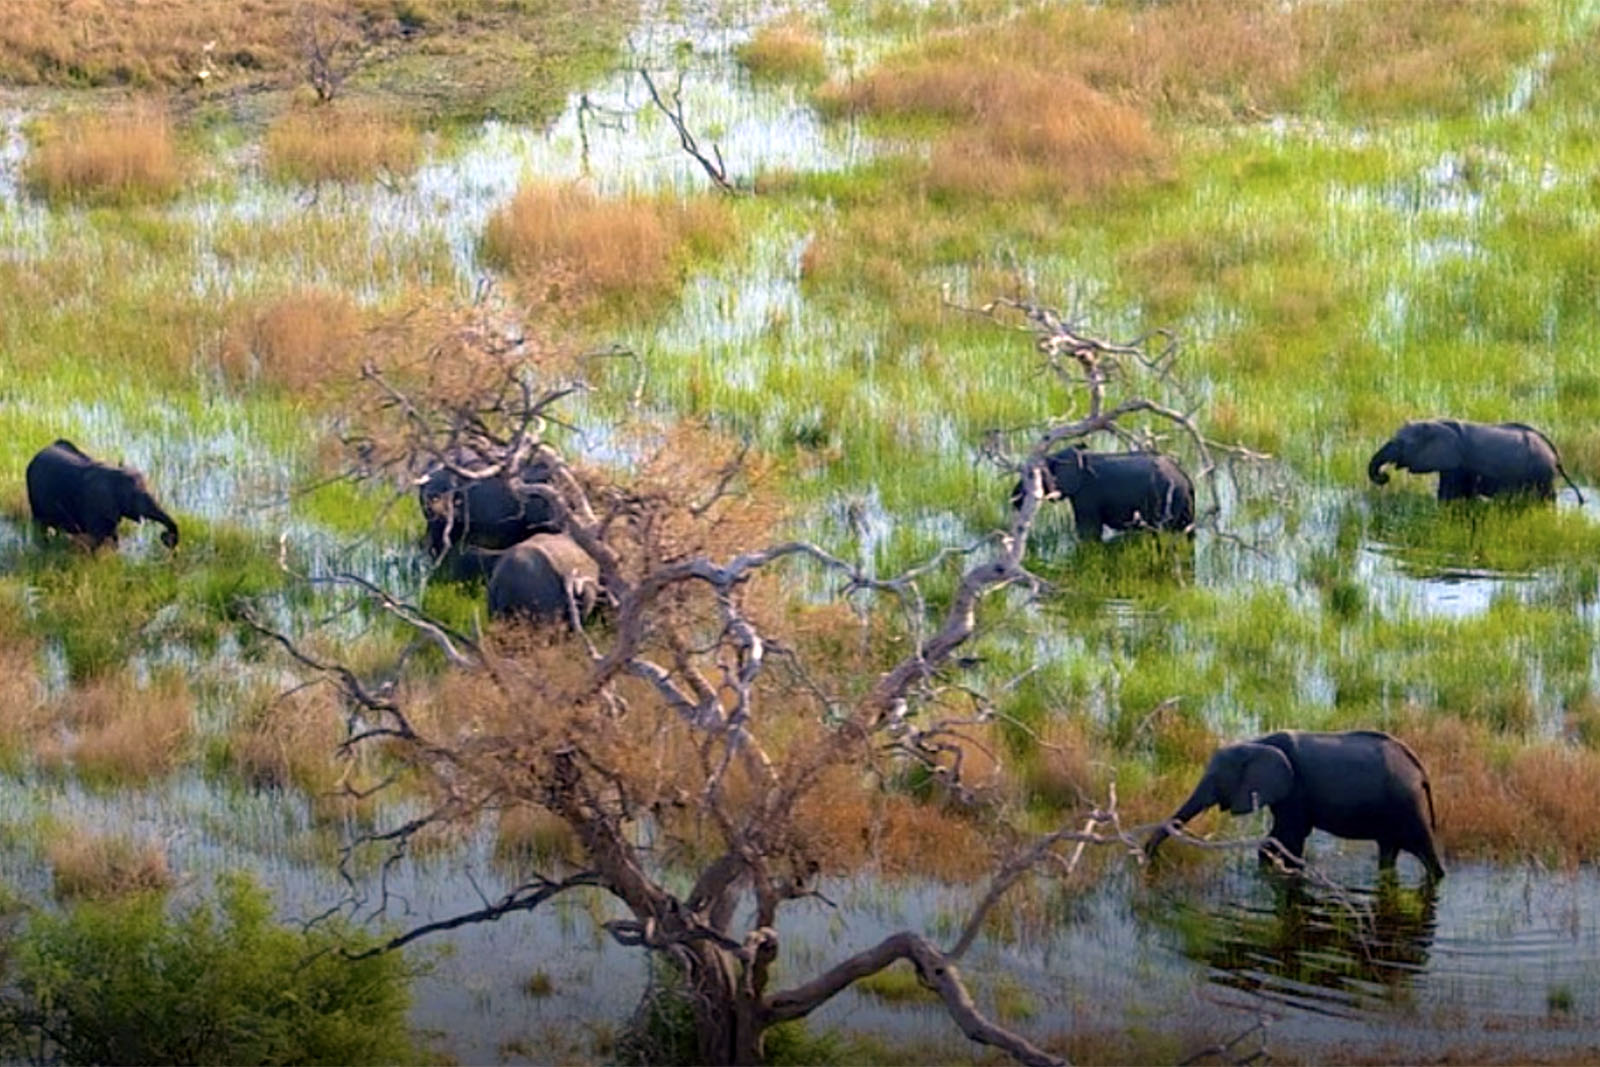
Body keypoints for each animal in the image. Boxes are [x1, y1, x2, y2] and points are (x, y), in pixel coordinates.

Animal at [25, 438, 180, 550]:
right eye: (136, 497)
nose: (167, 539)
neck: (116, 476)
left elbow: (113, 536)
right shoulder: (96, 506)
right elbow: (98, 539)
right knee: (41, 525)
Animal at [1004, 444, 1196, 537]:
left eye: (1031, 477)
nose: (1014, 500)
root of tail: (1186, 477)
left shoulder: (1087, 493)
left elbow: (1088, 531)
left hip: (1168, 497)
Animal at [1145, 726, 1446, 883]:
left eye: (1217, 780)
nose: (1149, 860)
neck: (1255, 743)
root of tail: (1420, 770)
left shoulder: (1295, 790)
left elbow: (1290, 835)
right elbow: (1276, 839)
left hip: (1406, 803)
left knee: (1425, 850)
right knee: (1388, 850)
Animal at [1369, 415, 1580, 505]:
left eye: (1400, 444)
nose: (1384, 476)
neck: (1436, 422)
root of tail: (1556, 454)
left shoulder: (1458, 463)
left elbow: (1450, 494)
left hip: (1541, 471)